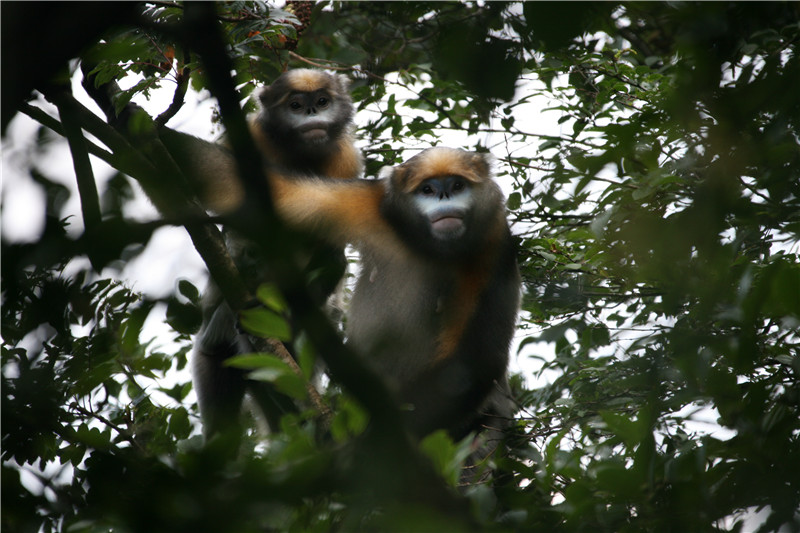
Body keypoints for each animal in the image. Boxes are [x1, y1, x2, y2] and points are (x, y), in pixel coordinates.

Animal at [166, 68, 366, 438]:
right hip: (212, 345)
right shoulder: (252, 138)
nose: (311, 112)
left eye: (322, 101)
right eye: (296, 105)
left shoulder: (345, 160)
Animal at [266, 145, 520, 440]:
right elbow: (280, 193)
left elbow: (476, 360)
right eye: (427, 190)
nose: (444, 195)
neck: (428, 246)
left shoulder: (493, 241)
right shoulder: (367, 203)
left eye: (457, 185)